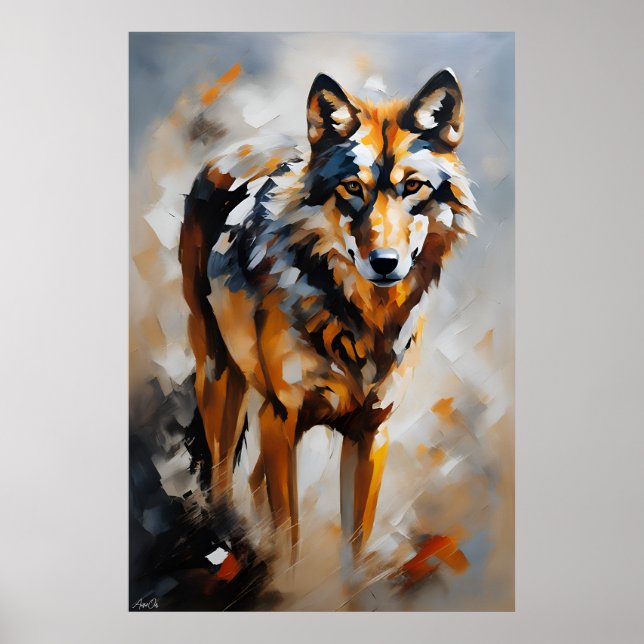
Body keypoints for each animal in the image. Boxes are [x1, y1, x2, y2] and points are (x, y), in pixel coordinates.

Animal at [179, 68, 477, 564]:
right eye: (352, 188)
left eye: (412, 187)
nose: (384, 262)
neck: (362, 321)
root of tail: (238, 149)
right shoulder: (281, 417)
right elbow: (291, 541)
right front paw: (288, 579)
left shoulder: (369, 433)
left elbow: (353, 549)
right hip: (222, 378)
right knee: (221, 471)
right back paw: (227, 537)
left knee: (253, 478)